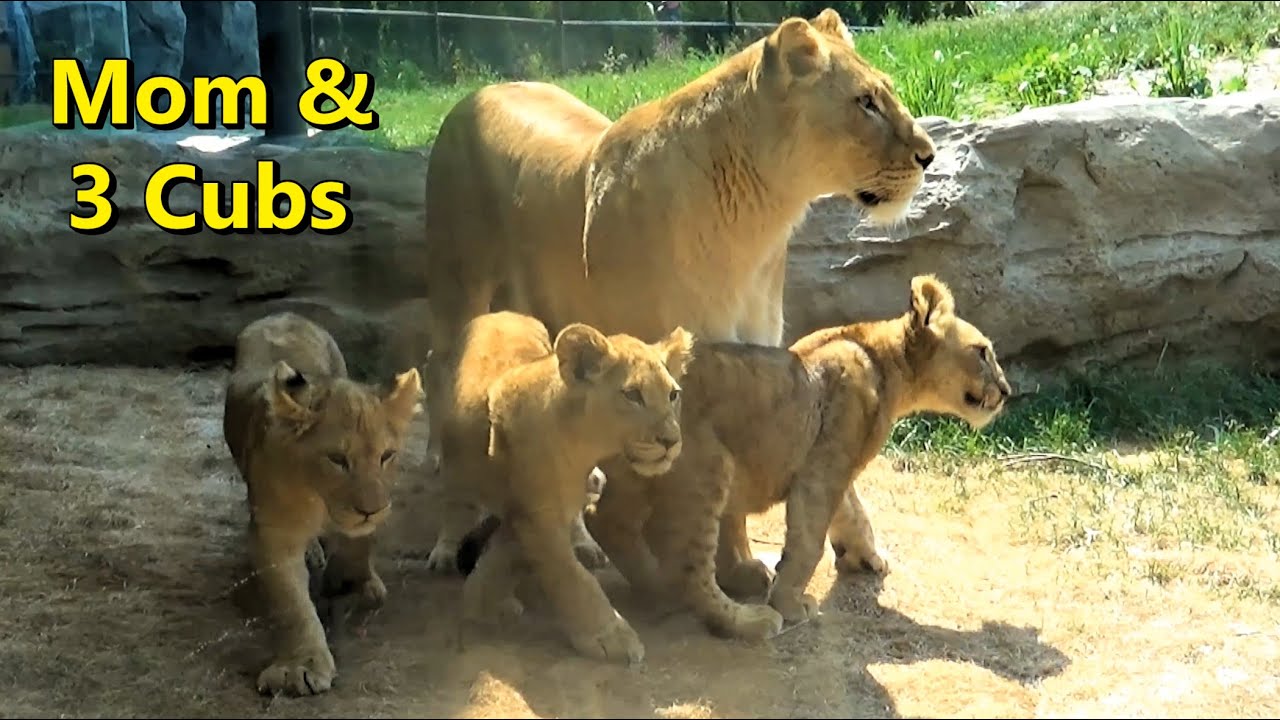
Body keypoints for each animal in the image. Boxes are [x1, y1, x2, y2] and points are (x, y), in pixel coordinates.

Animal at [222, 312, 423, 697]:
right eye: (337, 459)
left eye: (386, 456)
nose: (371, 509)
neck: (321, 500)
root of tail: (284, 313)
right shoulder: (274, 531)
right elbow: (292, 604)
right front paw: (300, 667)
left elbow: (360, 545)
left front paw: (356, 583)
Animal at [420, 7, 938, 561]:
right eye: (865, 102)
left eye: (886, 93)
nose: (929, 156)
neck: (759, 222)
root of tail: (475, 94)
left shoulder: (756, 346)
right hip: (457, 278)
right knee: (437, 364)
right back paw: (442, 492)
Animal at [429, 310, 691, 665]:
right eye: (633, 394)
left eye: (673, 394)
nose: (671, 441)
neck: (584, 445)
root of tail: (501, 312)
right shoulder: (538, 515)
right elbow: (571, 576)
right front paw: (609, 635)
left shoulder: (536, 512)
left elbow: (511, 553)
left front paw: (487, 598)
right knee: (456, 503)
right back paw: (445, 550)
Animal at [578, 275, 1011, 637]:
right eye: (982, 352)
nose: (1006, 391)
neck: (883, 361)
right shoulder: (823, 470)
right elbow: (809, 541)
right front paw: (790, 602)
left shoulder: (835, 462)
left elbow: (854, 513)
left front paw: (867, 558)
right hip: (707, 468)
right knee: (689, 568)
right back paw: (746, 620)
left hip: (642, 476)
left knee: (604, 519)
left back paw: (654, 585)